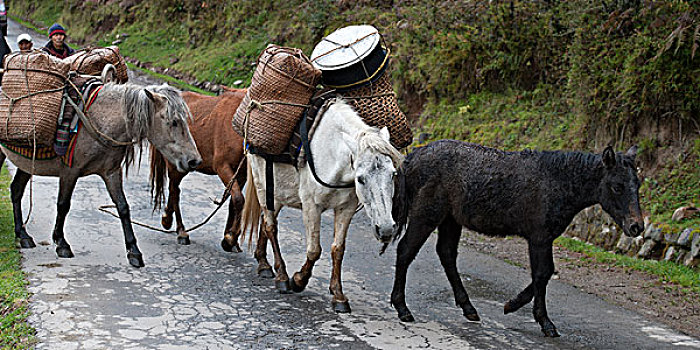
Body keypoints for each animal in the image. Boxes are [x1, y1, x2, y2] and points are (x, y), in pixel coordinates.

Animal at [1, 83, 201, 266]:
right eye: (173, 121)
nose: (194, 161)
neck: (99, 120)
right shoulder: (70, 171)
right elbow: (63, 205)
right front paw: (61, 243)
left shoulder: (111, 173)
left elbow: (123, 207)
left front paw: (134, 252)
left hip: (28, 164)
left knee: (16, 190)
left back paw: (23, 235)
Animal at [149, 87, 247, 252]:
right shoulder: (223, 167)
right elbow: (239, 199)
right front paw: (230, 238)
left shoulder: (241, 175)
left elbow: (234, 201)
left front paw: (230, 239)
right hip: (177, 167)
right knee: (175, 191)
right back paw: (180, 231)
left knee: (173, 190)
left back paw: (168, 219)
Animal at [242, 98, 402, 312]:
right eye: (361, 179)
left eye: (393, 174)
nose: (386, 230)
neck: (332, 153)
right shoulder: (311, 207)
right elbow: (314, 250)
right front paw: (298, 281)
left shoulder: (346, 209)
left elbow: (338, 249)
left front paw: (338, 296)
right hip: (262, 184)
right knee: (270, 226)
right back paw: (282, 276)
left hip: (276, 194)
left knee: (266, 221)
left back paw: (264, 264)